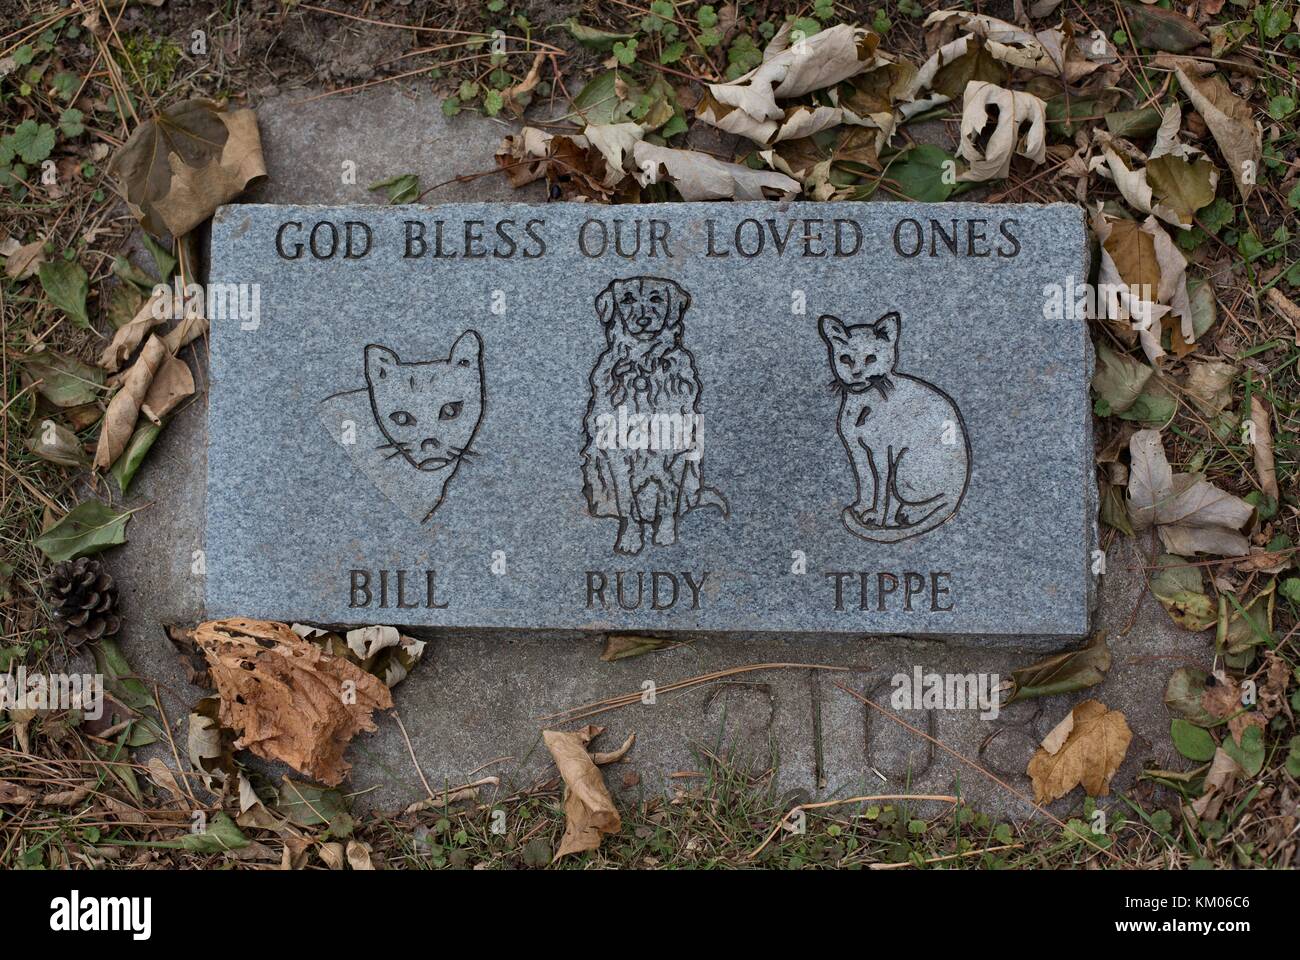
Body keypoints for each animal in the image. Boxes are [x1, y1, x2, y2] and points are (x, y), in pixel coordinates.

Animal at [582, 274, 728, 554]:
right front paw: (630, 539)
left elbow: (670, 498)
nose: (643, 321)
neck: (644, 364)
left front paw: (667, 535)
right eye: (627, 299)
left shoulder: (679, 446)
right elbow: (626, 500)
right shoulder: (617, 449)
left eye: (656, 298)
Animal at [816, 312, 972, 541]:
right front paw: (863, 508)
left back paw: (906, 515)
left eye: (871, 358)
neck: (864, 404)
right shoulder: (856, 449)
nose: (856, 374)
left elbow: (882, 488)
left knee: (938, 501)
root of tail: (958, 493)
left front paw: (876, 517)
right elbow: (866, 482)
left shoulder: (883, 451)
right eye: (845, 358)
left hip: (905, 464)